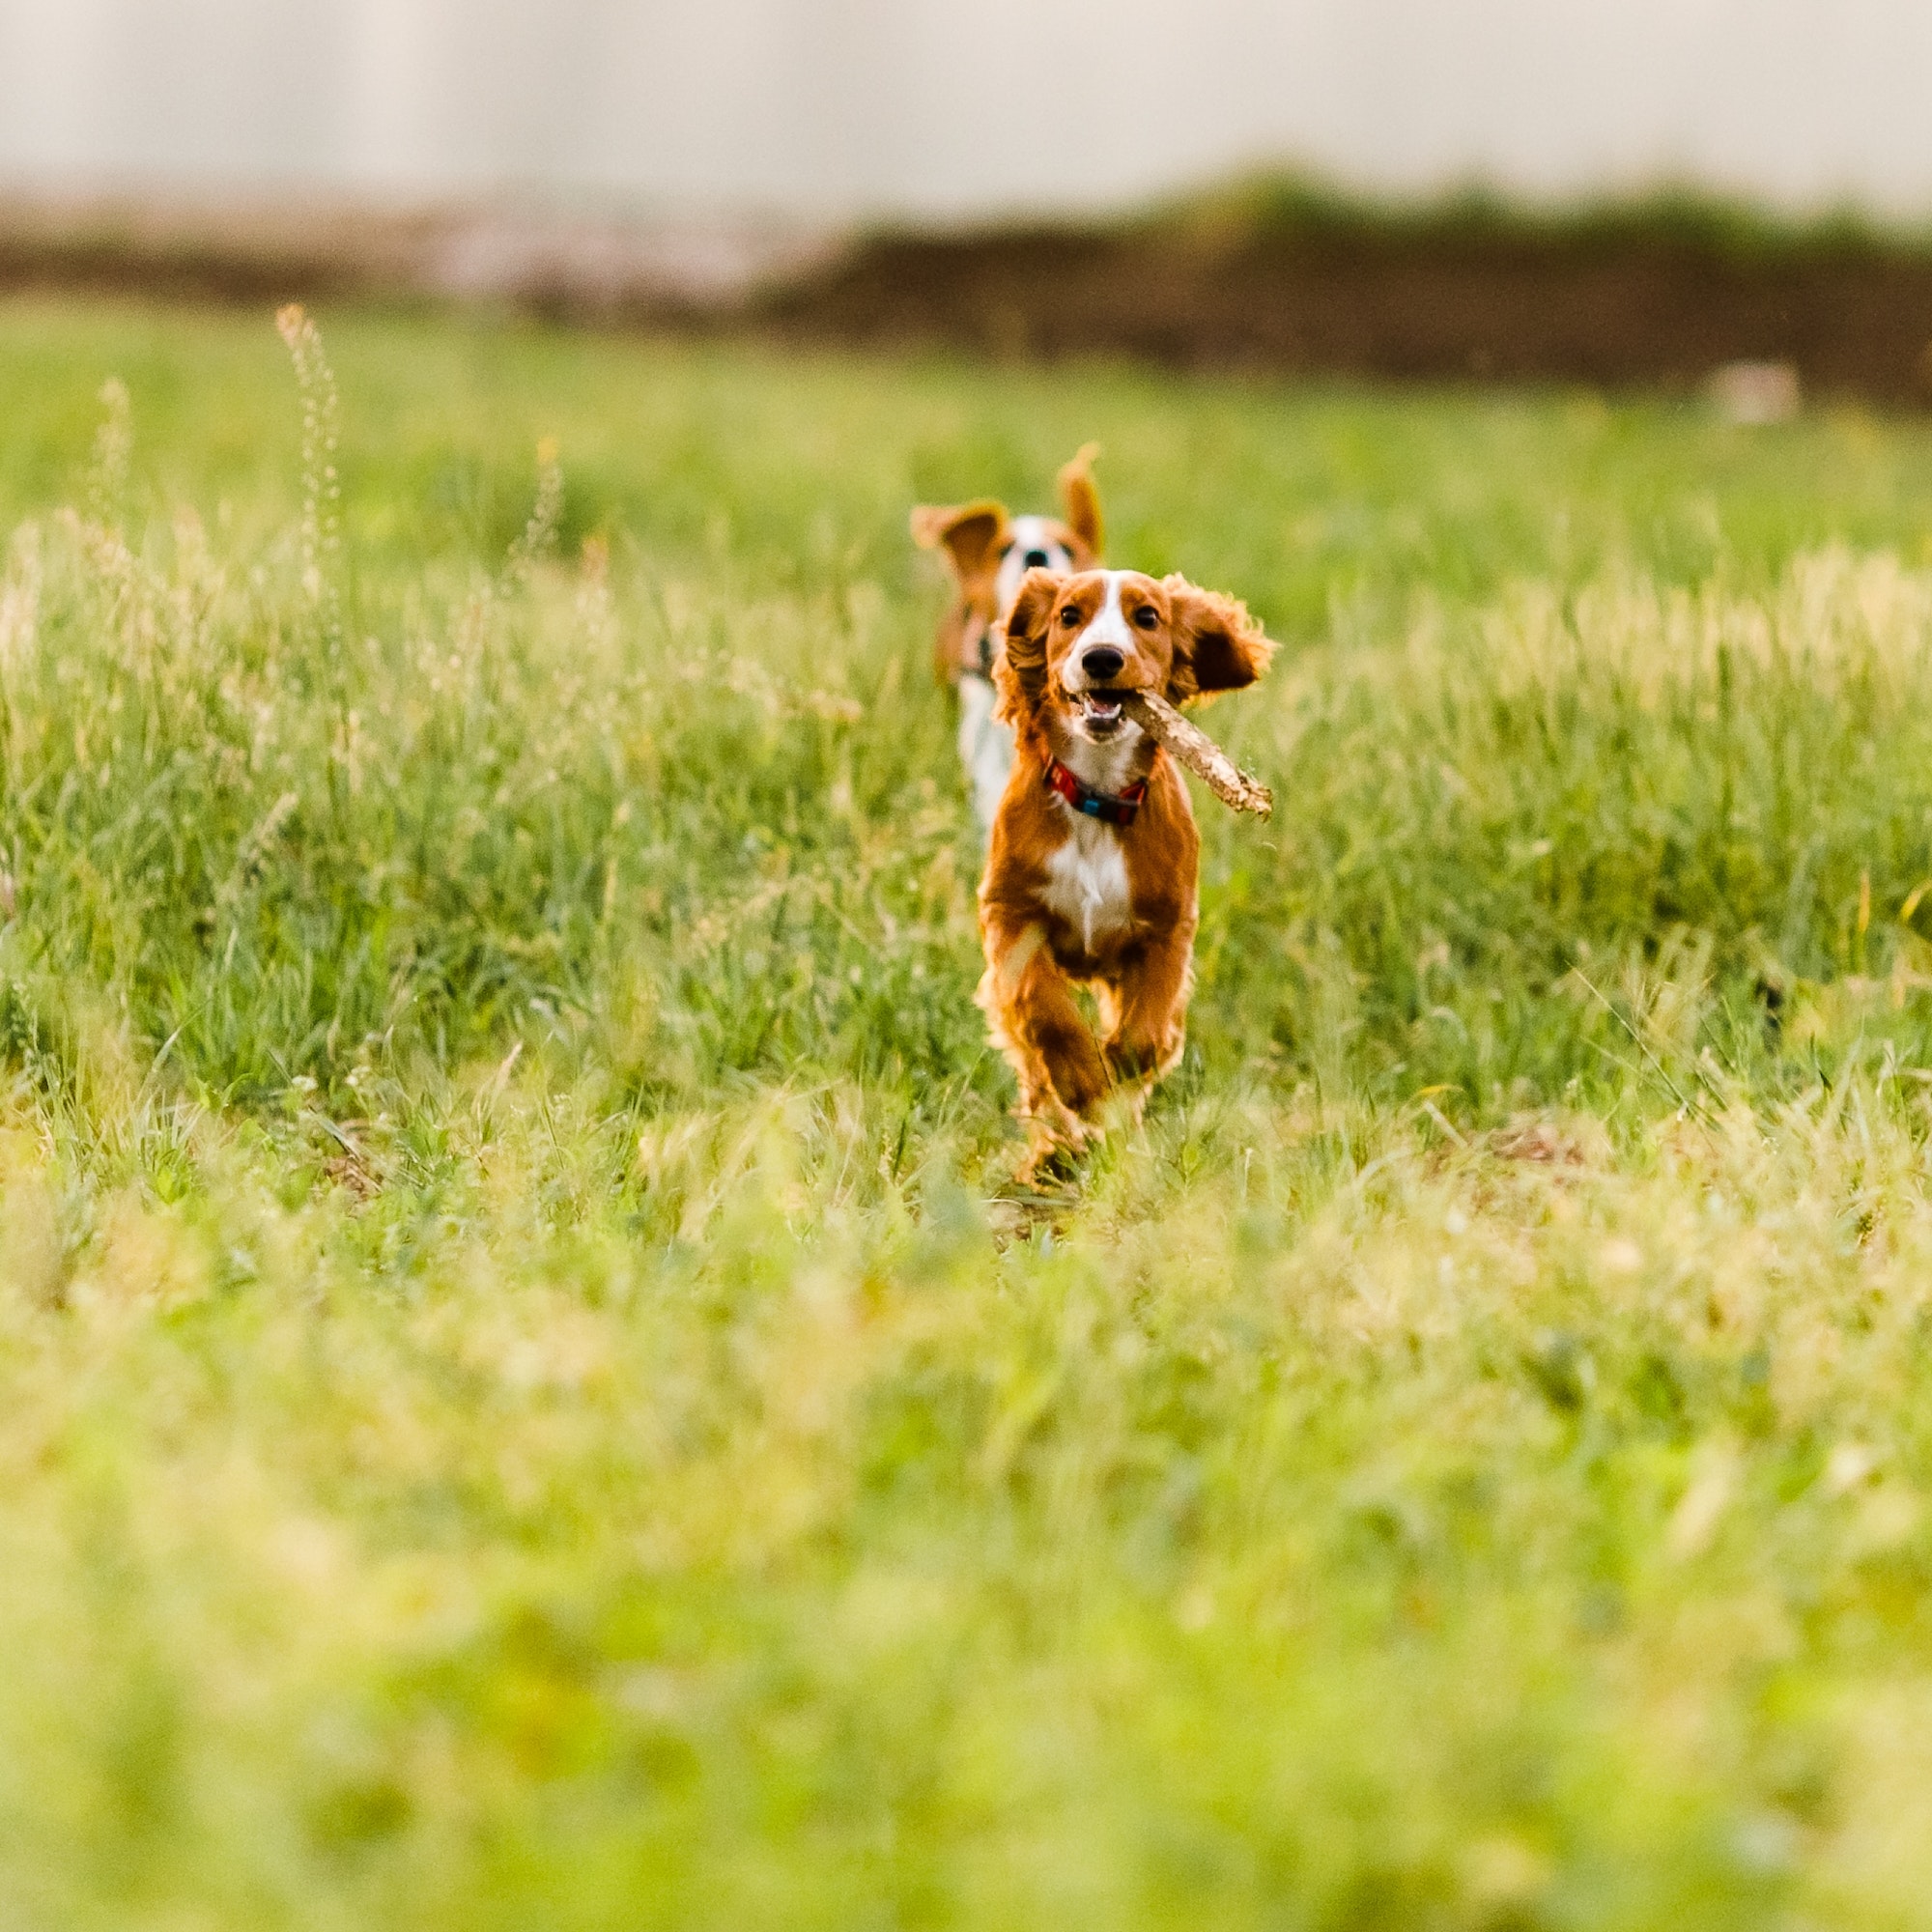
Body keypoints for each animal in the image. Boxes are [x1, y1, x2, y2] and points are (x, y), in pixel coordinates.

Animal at [974, 560, 1275, 1159]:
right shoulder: (1009, 913)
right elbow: (1043, 1009)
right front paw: (1084, 1085)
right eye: (1069, 615)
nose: (1102, 659)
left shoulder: (1167, 927)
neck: (1097, 795)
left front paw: (1115, 1075)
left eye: (1148, 617)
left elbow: (1147, 1031)